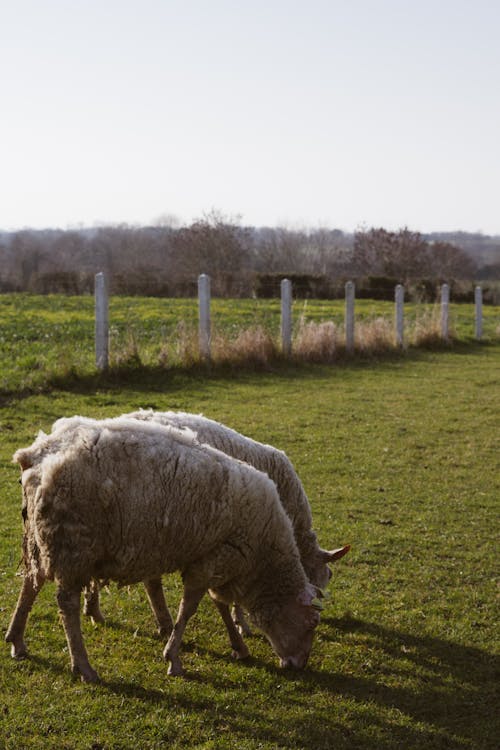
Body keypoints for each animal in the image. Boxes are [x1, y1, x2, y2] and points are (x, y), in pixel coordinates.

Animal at [7, 420, 322, 684]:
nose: (299, 665)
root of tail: (36, 456)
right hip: (73, 545)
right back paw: (83, 666)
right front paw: (174, 658)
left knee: (31, 583)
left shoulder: (210, 558)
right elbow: (191, 608)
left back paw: (17, 640)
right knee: (66, 604)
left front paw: (238, 646)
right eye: (311, 624)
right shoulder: (216, 558)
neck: (264, 558)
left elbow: (218, 603)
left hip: (41, 537)